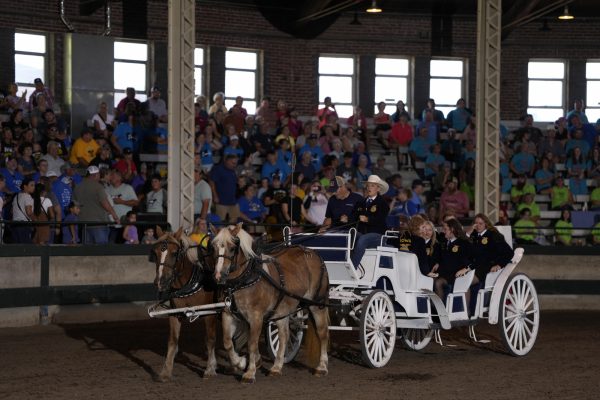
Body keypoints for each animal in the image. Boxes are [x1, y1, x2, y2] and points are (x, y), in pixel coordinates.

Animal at [150, 225, 220, 382]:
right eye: (155, 253)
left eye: (175, 253)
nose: (160, 282)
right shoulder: (174, 313)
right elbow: (172, 341)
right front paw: (166, 372)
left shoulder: (210, 313)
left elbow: (210, 339)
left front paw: (210, 369)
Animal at [211, 223, 330, 382]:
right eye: (214, 247)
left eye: (232, 248)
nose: (218, 276)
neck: (244, 279)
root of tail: (314, 253)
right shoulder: (228, 314)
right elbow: (227, 342)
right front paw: (241, 362)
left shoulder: (256, 316)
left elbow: (252, 343)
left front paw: (250, 372)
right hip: (282, 309)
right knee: (284, 335)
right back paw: (276, 367)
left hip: (317, 304)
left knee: (322, 333)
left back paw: (322, 367)